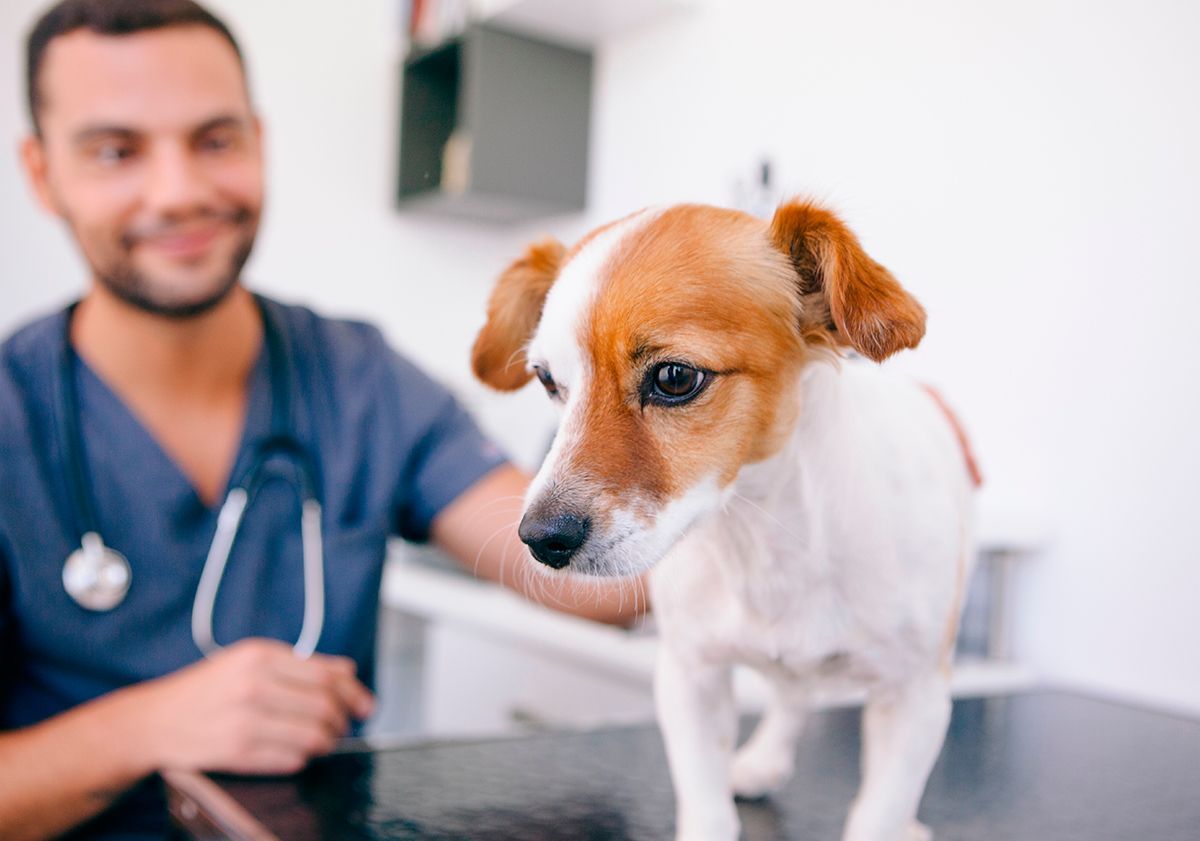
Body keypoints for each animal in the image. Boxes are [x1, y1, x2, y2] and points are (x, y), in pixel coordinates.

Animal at [472, 197, 979, 839]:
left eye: (675, 377)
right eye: (547, 382)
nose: (540, 540)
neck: (768, 538)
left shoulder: (915, 699)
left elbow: (877, 813)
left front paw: (891, 821)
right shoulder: (691, 677)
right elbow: (706, 803)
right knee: (793, 695)